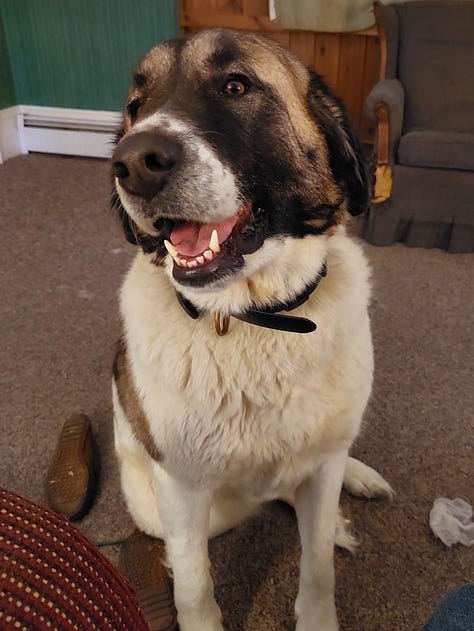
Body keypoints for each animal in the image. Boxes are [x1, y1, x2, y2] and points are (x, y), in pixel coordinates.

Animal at [111, 28, 392, 631]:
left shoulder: (321, 467)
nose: (133, 162)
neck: (254, 317)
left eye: (236, 86)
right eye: (136, 106)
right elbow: (195, 583)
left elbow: (317, 567)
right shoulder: (181, 488)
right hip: (160, 506)